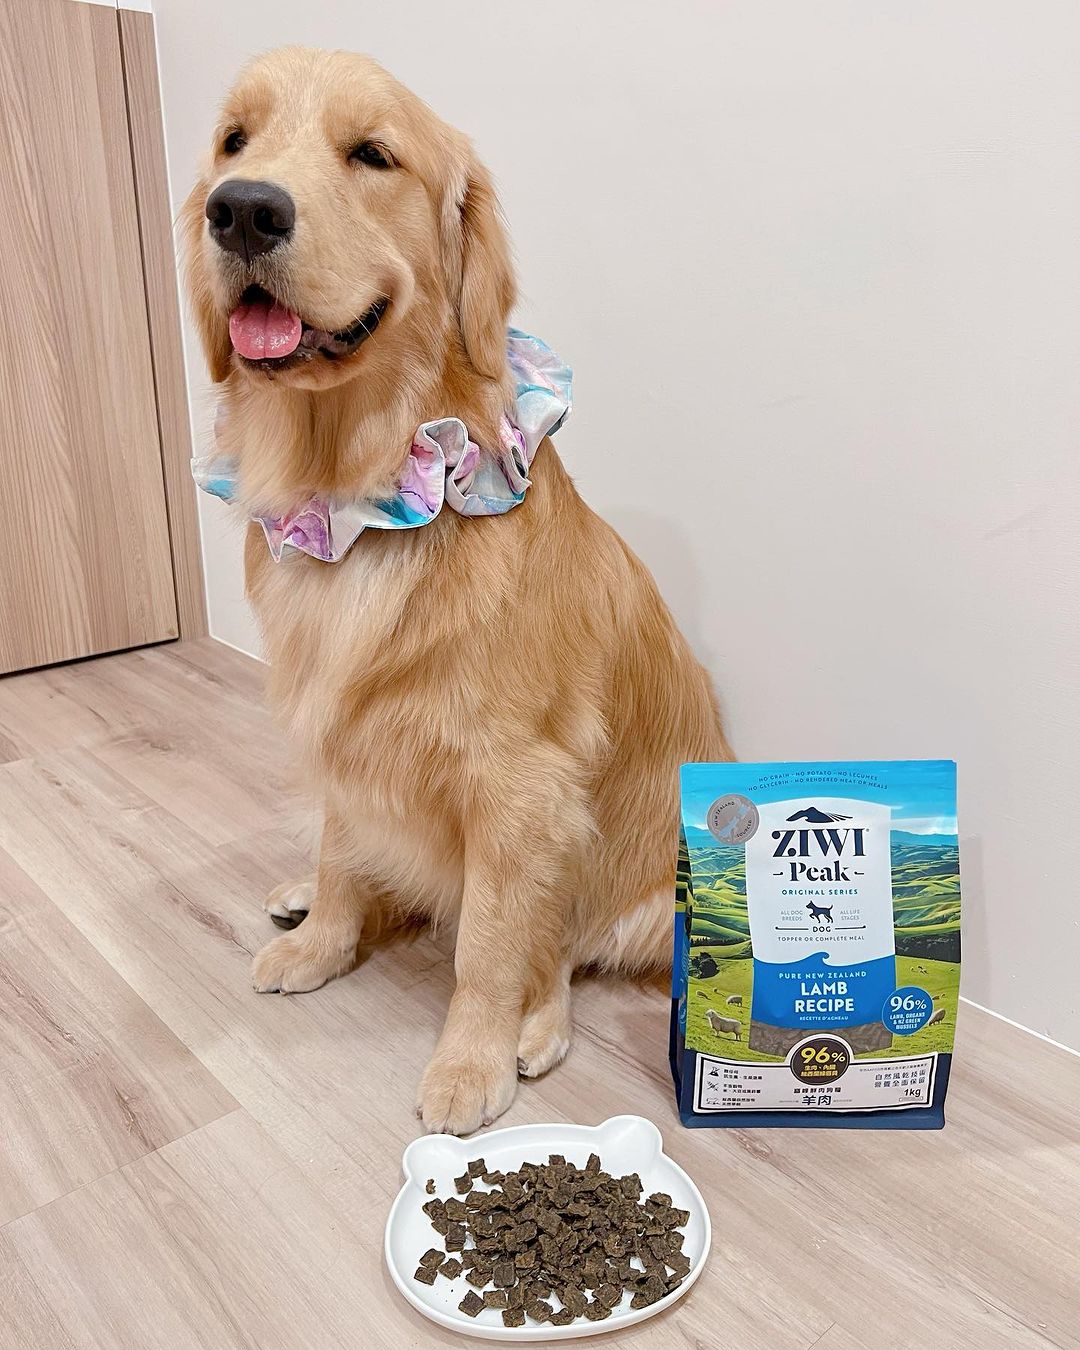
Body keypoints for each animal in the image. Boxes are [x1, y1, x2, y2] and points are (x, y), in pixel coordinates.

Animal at [183, 47, 730, 1134]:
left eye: (373, 154)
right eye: (233, 141)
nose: (243, 210)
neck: (356, 497)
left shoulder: (522, 783)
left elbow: (488, 941)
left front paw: (471, 1060)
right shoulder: (343, 732)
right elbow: (342, 852)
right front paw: (323, 940)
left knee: (561, 945)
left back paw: (534, 1028)